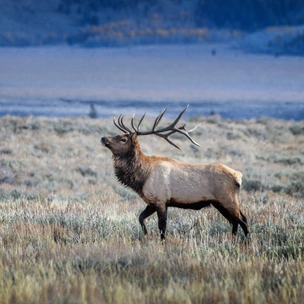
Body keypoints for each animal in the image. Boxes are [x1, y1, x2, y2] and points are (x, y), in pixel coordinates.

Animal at [100, 105, 249, 241]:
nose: (103, 138)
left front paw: (162, 243)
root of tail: (239, 176)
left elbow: (162, 228)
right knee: (234, 221)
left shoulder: (161, 200)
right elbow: (141, 218)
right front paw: (146, 235)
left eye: (123, 139)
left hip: (228, 199)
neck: (143, 178)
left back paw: (247, 242)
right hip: (219, 203)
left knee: (243, 220)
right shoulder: (152, 202)